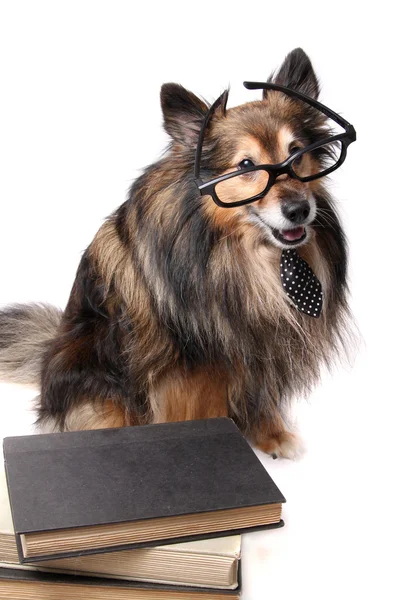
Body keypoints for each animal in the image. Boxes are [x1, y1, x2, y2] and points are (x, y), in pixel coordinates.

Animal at [0, 48, 350, 460]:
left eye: (296, 154)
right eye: (246, 166)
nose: (299, 210)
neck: (243, 252)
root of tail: (48, 352)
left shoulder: (260, 344)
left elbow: (259, 391)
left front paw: (272, 434)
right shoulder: (193, 364)